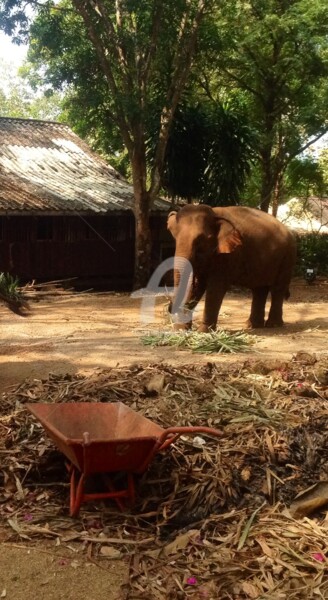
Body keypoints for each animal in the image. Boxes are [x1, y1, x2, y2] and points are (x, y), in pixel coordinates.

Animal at [168, 204, 296, 330]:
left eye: (202, 239)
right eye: (174, 235)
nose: (169, 307)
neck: (214, 213)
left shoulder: (228, 255)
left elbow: (216, 287)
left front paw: (204, 332)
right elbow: (197, 286)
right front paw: (181, 330)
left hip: (287, 257)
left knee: (277, 289)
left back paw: (273, 325)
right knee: (259, 289)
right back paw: (253, 326)